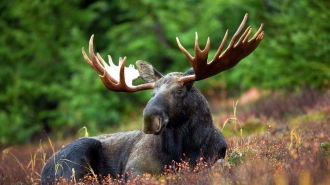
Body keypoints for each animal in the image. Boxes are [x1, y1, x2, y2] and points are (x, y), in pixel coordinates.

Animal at [41, 14, 264, 184]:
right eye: (152, 93)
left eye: (179, 91)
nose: (149, 119)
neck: (187, 148)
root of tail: (44, 171)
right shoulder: (135, 168)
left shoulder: (216, 157)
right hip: (76, 157)